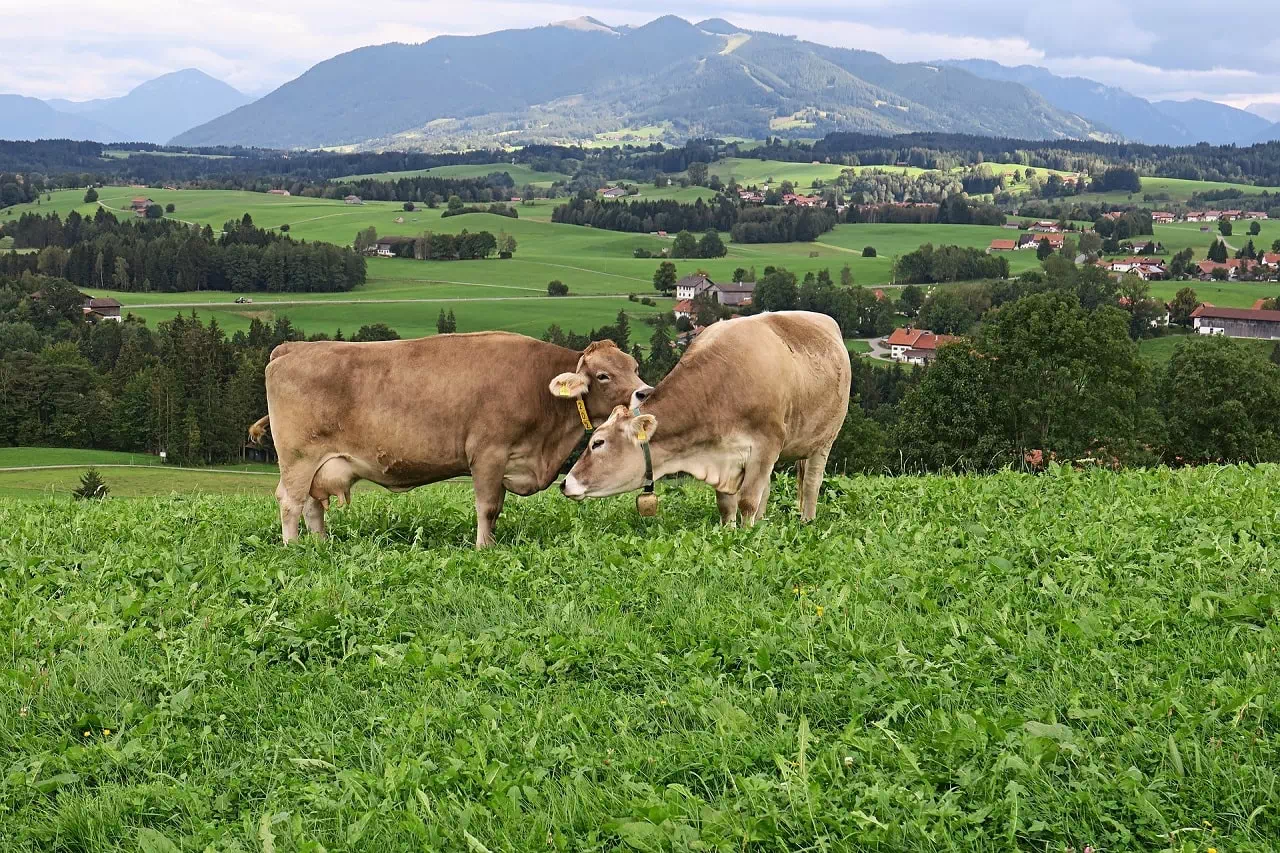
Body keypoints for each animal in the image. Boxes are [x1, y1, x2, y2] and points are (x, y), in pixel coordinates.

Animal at [249, 333, 650, 545]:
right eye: (603, 375)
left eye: (634, 367)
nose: (645, 392)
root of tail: (294, 347)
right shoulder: (487, 453)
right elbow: (486, 507)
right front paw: (483, 548)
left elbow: (497, 507)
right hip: (298, 458)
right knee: (290, 501)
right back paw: (293, 548)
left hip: (318, 463)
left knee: (312, 505)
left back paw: (319, 545)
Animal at [560, 311, 849, 522]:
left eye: (598, 443)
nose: (565, 483)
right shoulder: (725, 455)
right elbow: (726, 504)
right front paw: (730, 534)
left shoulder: (765, 447)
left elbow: (747, 502)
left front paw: (748, 540)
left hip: (824, 440)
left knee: (811, 483)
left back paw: (806, 523)